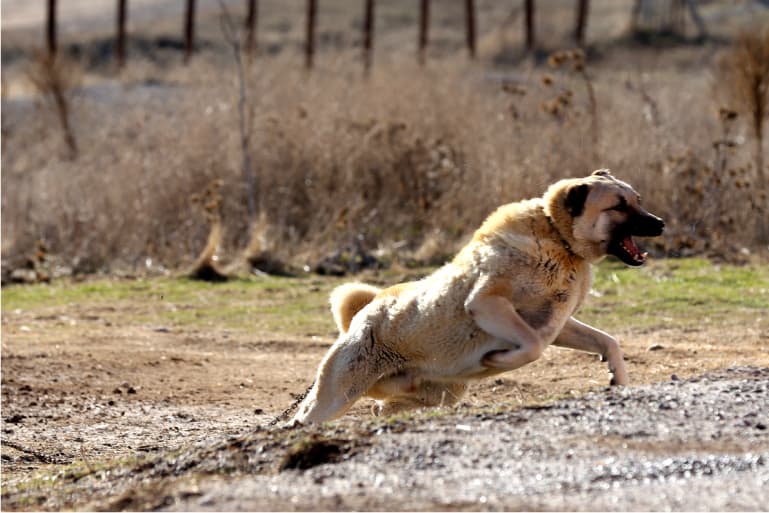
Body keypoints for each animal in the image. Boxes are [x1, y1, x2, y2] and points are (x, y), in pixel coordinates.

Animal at [292, 170, 664, 422]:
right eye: (618, 206)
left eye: (638, 200)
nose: (660, 223)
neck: (558, 237)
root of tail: (366, 312)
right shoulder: (487, 304)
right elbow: (533, 345)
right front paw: (497, 360)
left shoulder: (561, 324)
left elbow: (607, 342)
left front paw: (619, 379)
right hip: (337, 395)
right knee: (304, 418)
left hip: (429, 396)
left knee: (382, 409)